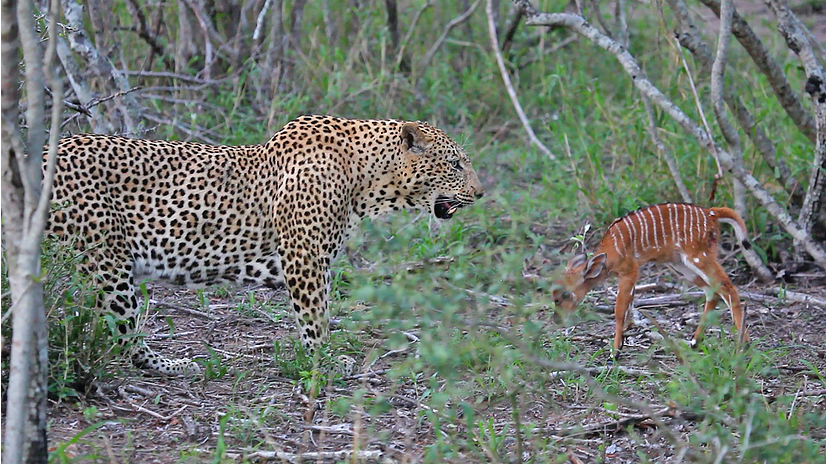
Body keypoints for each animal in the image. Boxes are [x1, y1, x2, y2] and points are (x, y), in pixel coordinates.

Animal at [45, 115, 486, 374]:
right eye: (455, 164)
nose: (481, 193)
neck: (367, 179)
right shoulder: (304, 257)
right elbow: (315, 318)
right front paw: (325, 361)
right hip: (107, 263)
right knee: (124, 336)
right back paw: (169, 365)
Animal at [556, 202, 752, 356]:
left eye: (565, 295)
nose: (558, 319)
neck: (609, 253)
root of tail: (712, 213)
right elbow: (628, 306)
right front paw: (625, 336)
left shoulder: (630, 269)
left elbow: (619, 309)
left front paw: (615, 351)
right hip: (682, 264)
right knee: (712, 291)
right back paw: (695, 342)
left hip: (698, 255)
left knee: (727, 286)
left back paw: (744, 343)